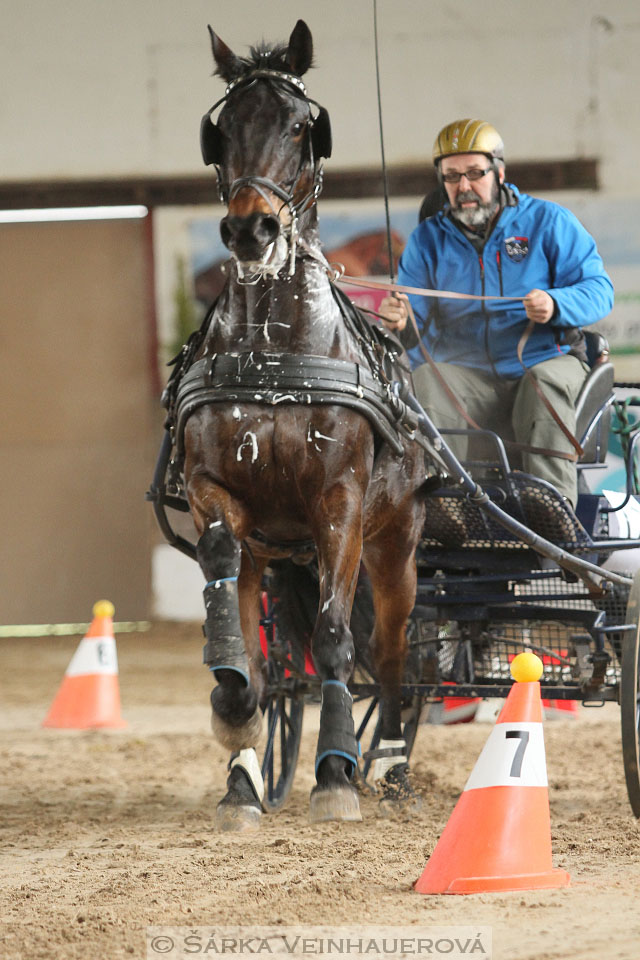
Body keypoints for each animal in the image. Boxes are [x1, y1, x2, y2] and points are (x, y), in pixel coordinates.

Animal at [172, 15, 428, 828]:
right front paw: (237, 740)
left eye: (298, 125)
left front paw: (338, 774)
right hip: (279, 552)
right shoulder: (219, 494)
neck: (275, 350)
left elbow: (337, 637)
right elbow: (244, 650)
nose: (250, 230)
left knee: (391, 651)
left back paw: (389, 761)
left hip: (396, 545)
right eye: (221, 130)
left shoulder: (339, 503)